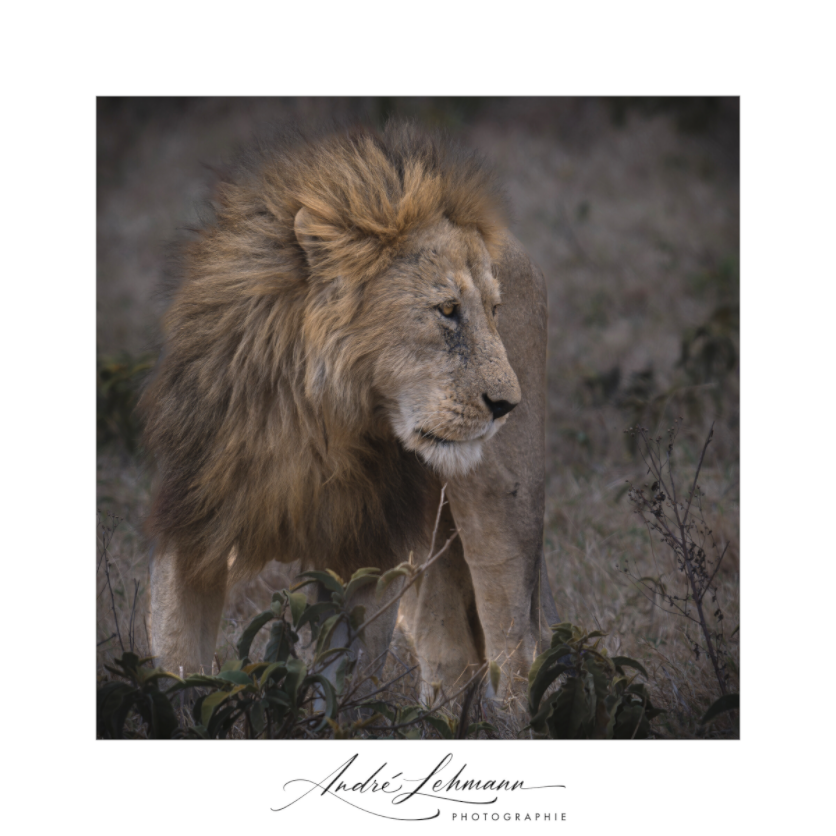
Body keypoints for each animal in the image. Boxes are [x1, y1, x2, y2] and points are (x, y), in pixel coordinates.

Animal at [141, 121, 559, 700]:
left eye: (494, 312)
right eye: (448, 310)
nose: (506, 405)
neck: (310, 421)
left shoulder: (366, 546)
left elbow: (340, 679)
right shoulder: (193, 518)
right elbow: (178, 664)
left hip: (503, 500)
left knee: (514, 648)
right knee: (450, 652)